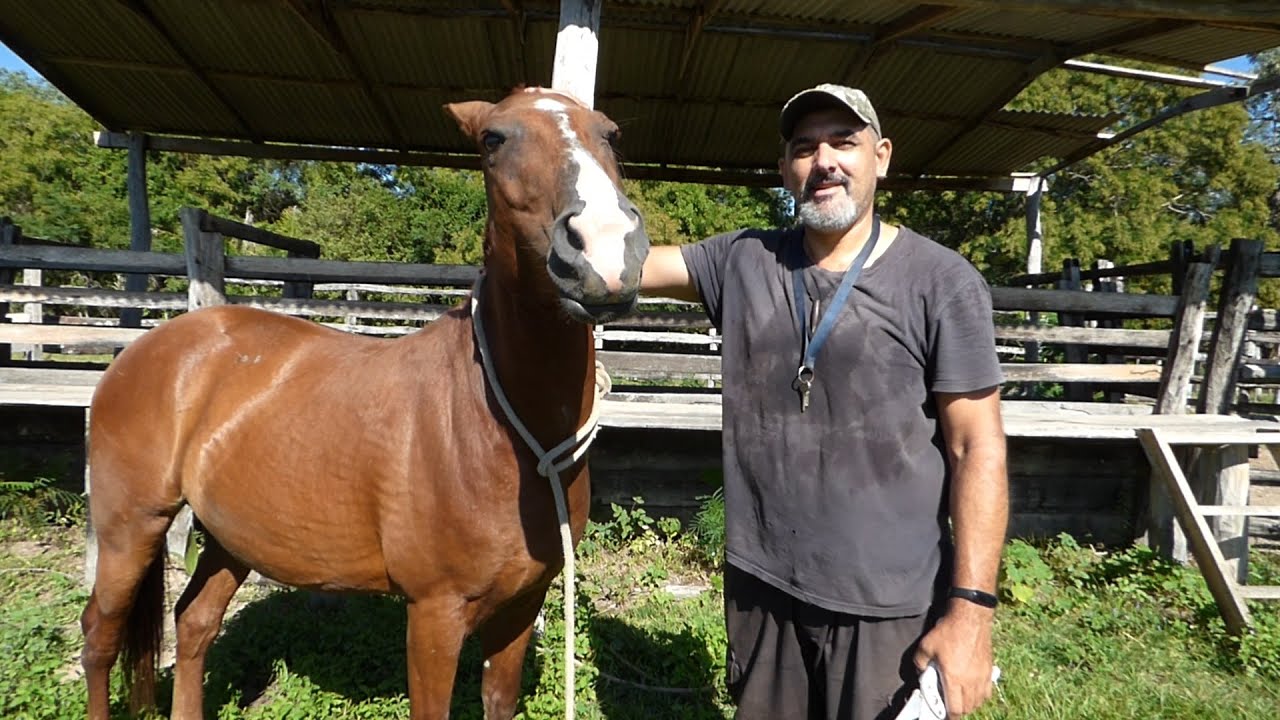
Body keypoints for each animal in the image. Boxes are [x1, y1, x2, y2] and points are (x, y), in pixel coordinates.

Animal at [80, 87, 650, 720]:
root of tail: (149, 348)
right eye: (492, 140)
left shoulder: (523, 602)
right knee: (101, 635)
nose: (604, 249)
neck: (496, 430)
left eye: (612, 134)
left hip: (231, 537)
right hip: (131, 527)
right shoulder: (434, 614)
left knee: (194, 620)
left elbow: (498, 699)